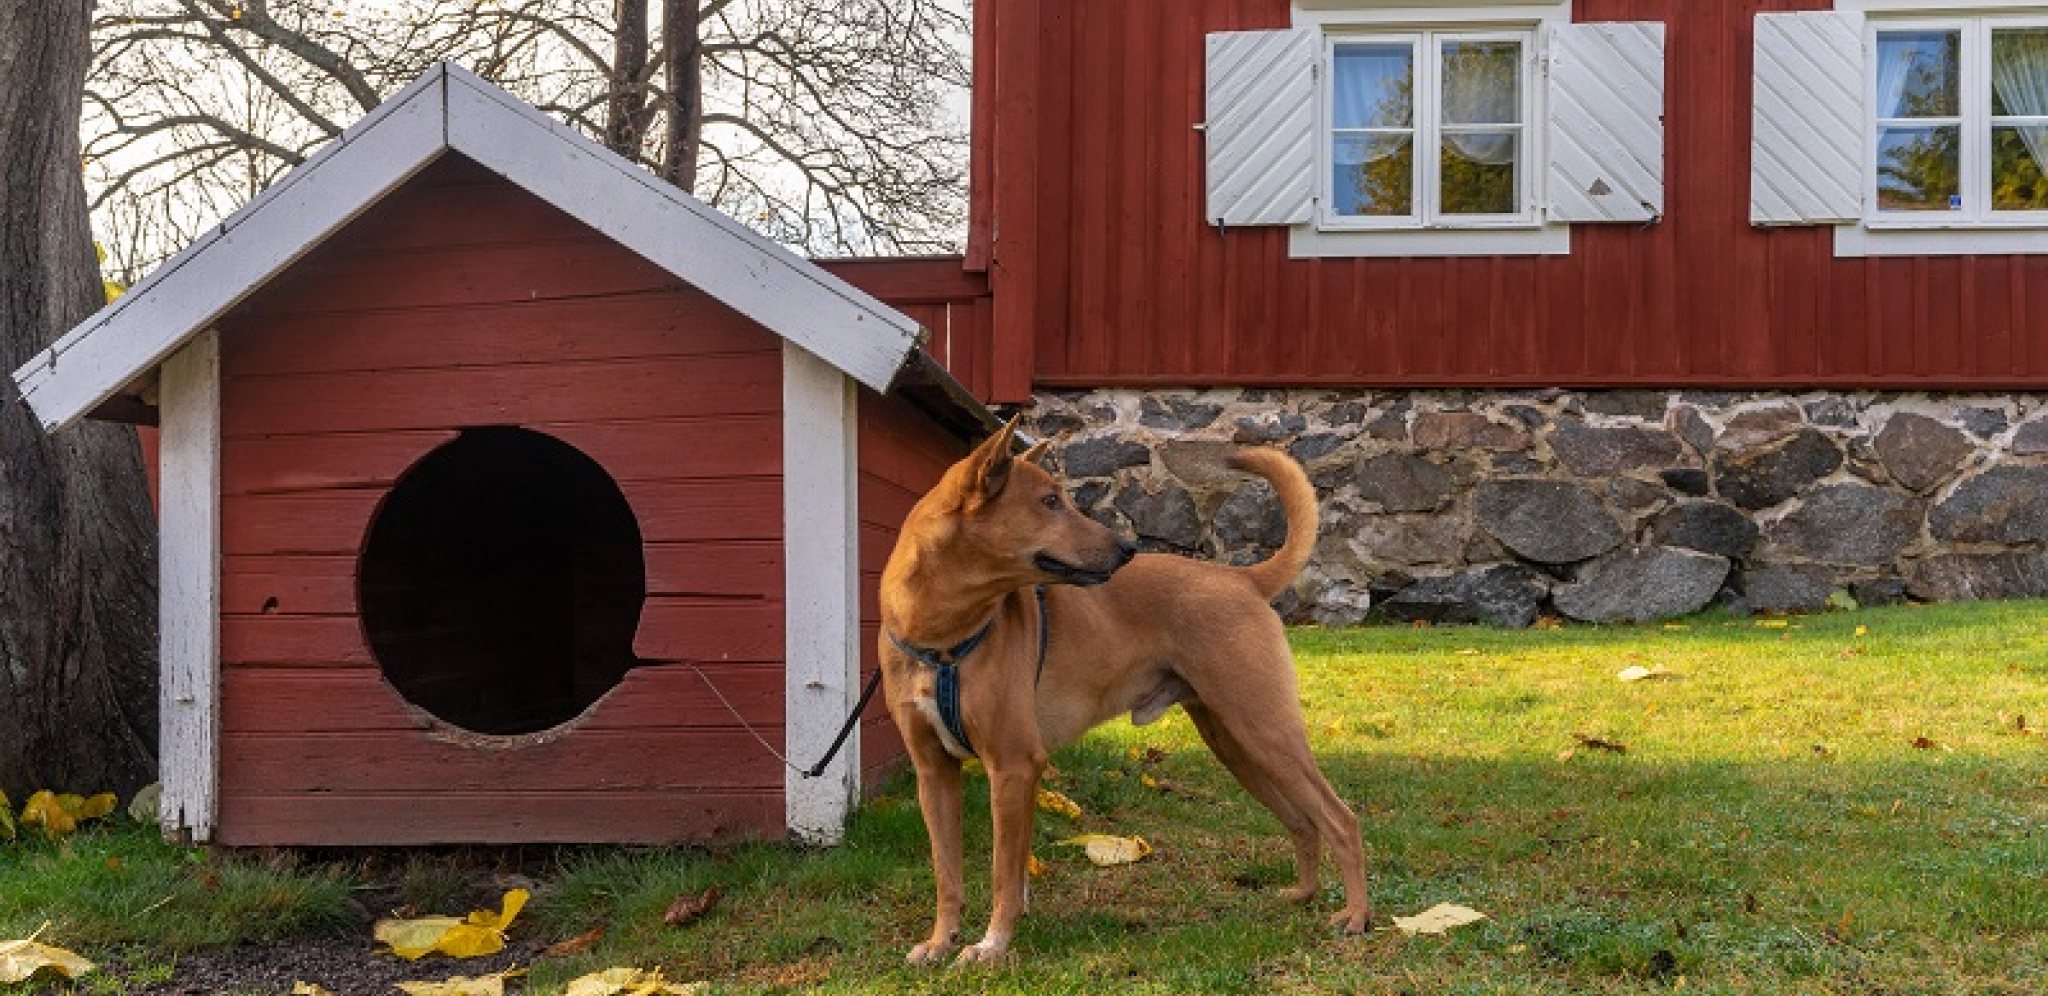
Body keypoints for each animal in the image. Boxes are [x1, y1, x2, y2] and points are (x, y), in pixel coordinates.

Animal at [876, 420, 1368, 963]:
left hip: (1266, 731)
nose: (1127, 549)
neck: (942, 637)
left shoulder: (1013, 765)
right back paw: (1304, 893)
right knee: (1304, 821)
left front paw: (992, 945)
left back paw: (1356, 916)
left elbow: (1004, 874)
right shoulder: (935, 773)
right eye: (1050, 501)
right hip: (1236, 745)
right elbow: (949, 873)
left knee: (1341, 820)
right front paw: (941, 941)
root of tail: (1242, 578)